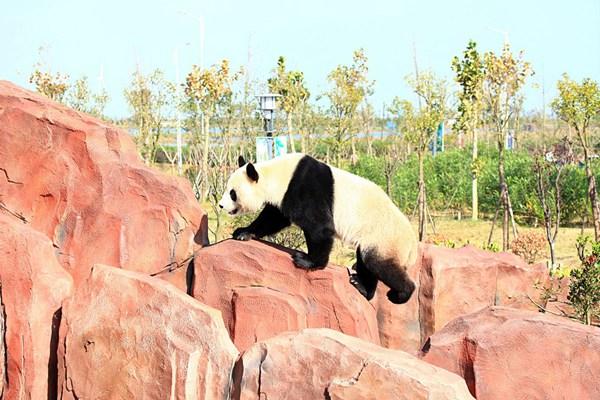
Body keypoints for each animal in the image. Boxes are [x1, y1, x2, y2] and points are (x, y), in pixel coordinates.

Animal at [218, 152, 420, 304]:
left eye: (232, 193)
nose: (221, 205)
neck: (275, 174)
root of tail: (412, 244)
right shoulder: (283, 198)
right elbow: (272, 218)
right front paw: (243, 232)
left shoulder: (304, 189)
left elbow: (320, 227)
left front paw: (307, 261)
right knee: (366, 261)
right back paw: (362, 286)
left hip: (383, 237)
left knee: (378, 263)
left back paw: (400, 294)